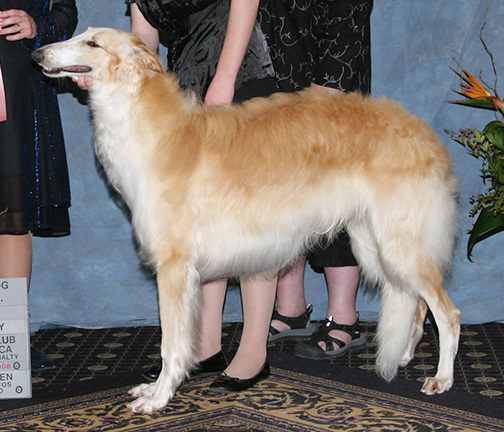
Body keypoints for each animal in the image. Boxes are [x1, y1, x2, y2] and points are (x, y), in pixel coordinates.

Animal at [32, 28, 460, 414]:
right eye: (80, 33)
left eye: (92, 42)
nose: (36, 54)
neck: (156, 129)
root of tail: (424, 134)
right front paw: (161, 385)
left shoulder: (174, 267)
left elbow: (171, 344)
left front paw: (159, 397)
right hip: (375, 244)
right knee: (418, 305)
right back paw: (404, 355)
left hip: (397, 244)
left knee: (448, 313)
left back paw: (442, 379)